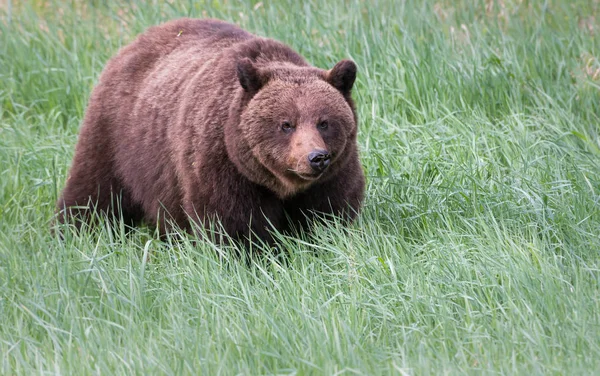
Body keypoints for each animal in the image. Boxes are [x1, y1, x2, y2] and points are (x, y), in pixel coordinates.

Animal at [57, 18, 366, 244]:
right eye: (286, 124)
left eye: (324, 122)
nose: (316, 157)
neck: (279, 184)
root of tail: (134, 43)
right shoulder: (220, 164)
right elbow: (232, 223)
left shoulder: (334, 174)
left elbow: (328, 215)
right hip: (117, 137)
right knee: (93, 193)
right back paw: (72, 234)